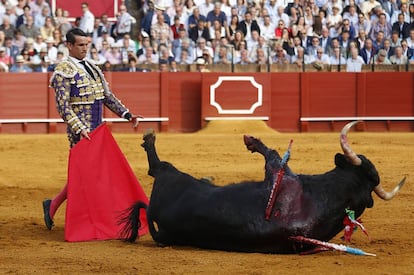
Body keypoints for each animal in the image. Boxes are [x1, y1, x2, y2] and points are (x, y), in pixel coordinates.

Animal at [119, 122, 404, 256]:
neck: (325, 197)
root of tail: (154, 216)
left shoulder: (280, 173)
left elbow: (272, 154)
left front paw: (252, 140)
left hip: (170, 176)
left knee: (156, 167)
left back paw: (149, 139)